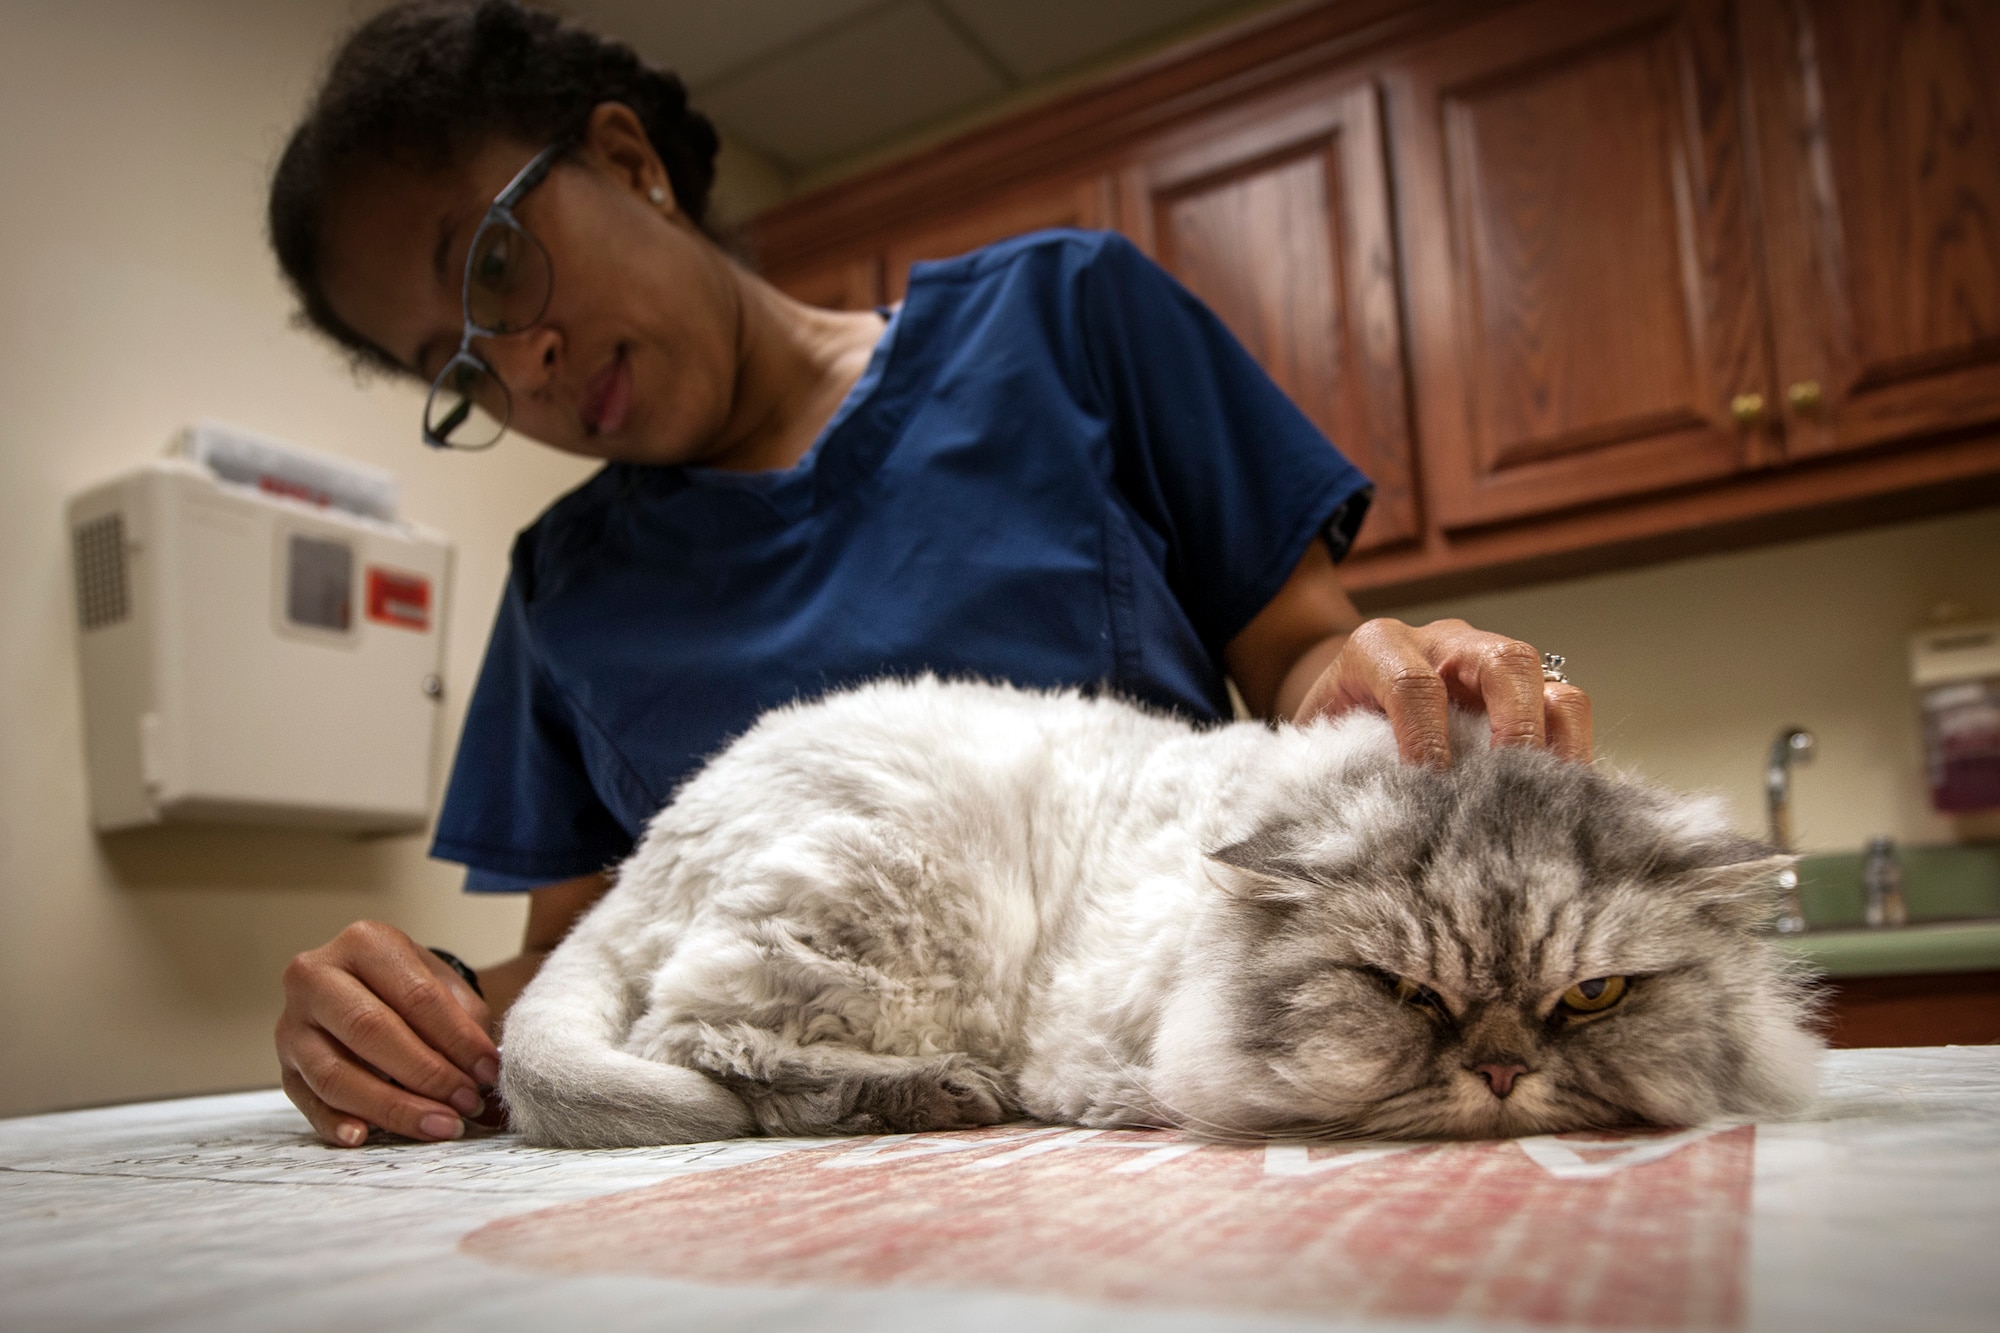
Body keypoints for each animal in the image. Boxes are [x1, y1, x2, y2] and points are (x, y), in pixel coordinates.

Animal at [496, 676, 1816, 1144]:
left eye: (1591, 997)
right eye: (1405, 994)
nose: (1500, 1072)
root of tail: (637, 859)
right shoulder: (1104, 1047)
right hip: (897, 895)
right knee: (709, 1049)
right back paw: (935, 1094)